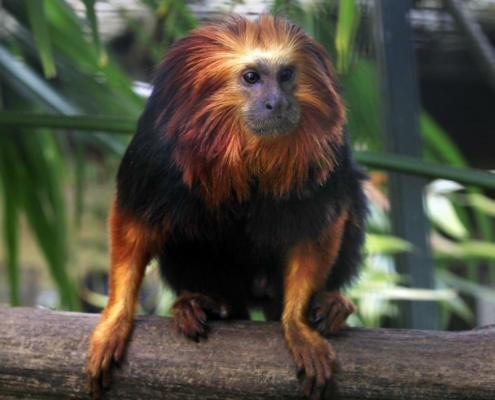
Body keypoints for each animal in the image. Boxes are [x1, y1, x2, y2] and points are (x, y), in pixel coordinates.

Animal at [87, 12, 368, 400]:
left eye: (285, 75)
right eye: (252, 78)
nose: (278, 102)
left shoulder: (329, 152)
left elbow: (316, 227)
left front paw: (297, 325)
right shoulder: (156, 152)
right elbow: (134, 224)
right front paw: (114, 322)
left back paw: (330, 303)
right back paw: (209, 304)